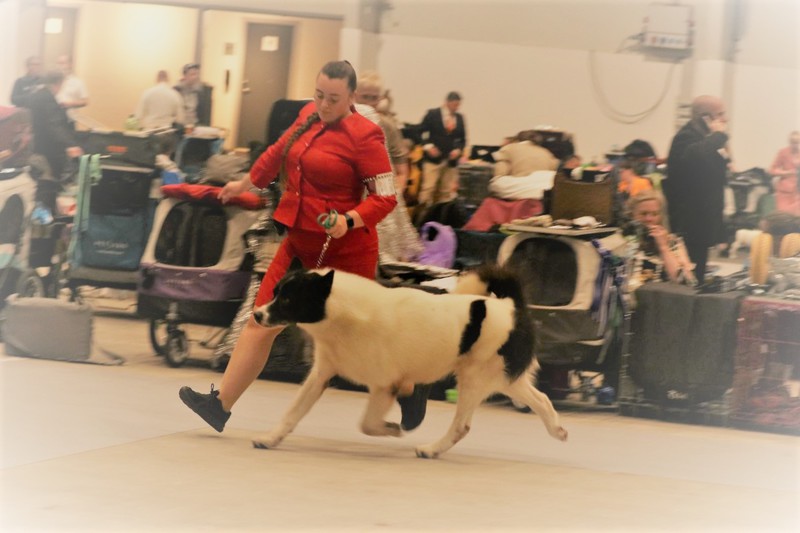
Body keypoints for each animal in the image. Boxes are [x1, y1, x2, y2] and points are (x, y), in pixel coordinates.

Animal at [251, 260, 568, 459]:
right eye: (276, 292)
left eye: (288, 300)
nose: (256, 314)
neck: (342, 312)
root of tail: (511, 307)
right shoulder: (321, 376)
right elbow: (292, 413)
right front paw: (270, 438)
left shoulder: (384, 386)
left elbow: (367, 424)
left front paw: (393, 429)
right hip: (502, 379)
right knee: (542, 400)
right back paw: (558, 430)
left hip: (475, 379)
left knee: (461, 426)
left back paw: (431, 449)